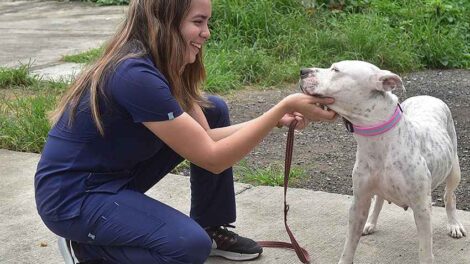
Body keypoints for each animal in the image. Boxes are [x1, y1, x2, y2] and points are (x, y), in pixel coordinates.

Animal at [302, 60, 466, 264]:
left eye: (336, 70)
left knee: (449, 197)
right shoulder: (359, 201)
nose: (302, 71)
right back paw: (370, 223)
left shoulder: (422, 208)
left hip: (454, 171)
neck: (378, 141)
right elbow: (349, 244)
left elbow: (425, 250)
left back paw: (454, 224)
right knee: (379, 199)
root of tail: (428, 96)